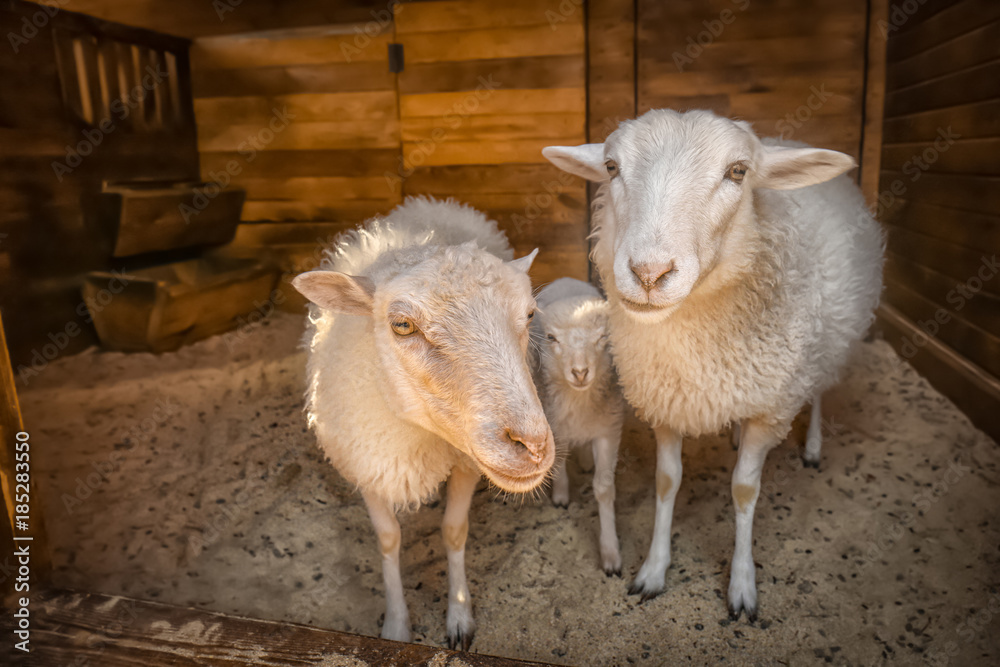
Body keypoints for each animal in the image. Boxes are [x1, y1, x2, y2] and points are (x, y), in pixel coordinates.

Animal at [292, 196, 555, 649]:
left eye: (529, 314)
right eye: (402, 325)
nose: (533, 445)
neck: (415, 435)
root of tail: (432, 202)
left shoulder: (466, 462)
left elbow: (453, 531)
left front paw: (459, 615)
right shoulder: (368, 465)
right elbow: (388, 540)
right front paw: (397, 626)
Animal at [530, 277, 626, 575]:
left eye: (602, 337)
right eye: (551, 338)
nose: (580, 372)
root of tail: (566, 280)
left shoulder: (608, 430)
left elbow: (604, 489)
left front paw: (610, 553)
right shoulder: (555, 426)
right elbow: (559, 463)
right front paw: (561, 496)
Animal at [542, 109, 884, 620]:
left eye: (738, 172)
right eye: (610, 167)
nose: (649, 273)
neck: (696, 353)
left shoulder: (771, 407)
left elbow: (744, 490)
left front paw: (742, 585)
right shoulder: (666, 402)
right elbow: (666, 482)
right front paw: (653, 570)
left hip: (823, 347)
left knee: (820, 390)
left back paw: (813, 445)